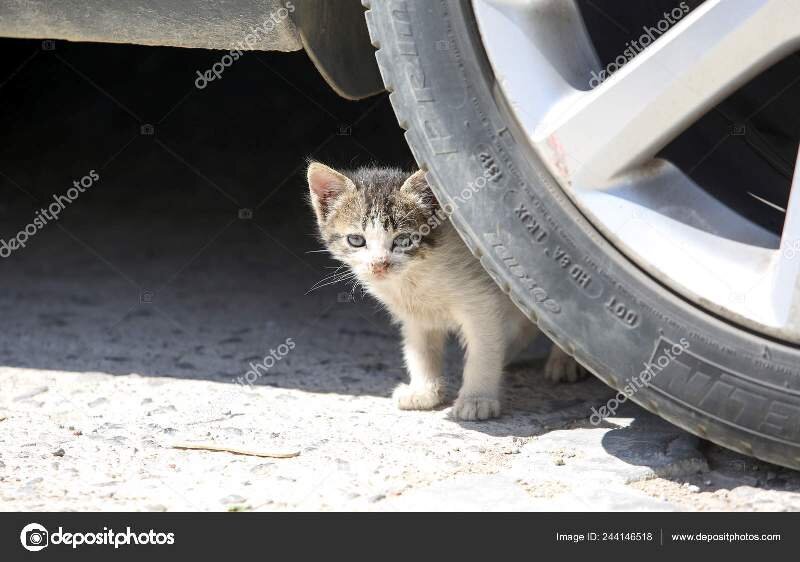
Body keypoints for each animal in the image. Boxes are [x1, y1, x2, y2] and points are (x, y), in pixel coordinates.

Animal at [306, 160, 580, 418]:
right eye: (356, 240)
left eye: (403, 240)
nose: (379, 264)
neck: (415, 277)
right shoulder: (415, 317)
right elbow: (420, 351)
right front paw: (424, 391)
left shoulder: (482, 304)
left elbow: (483, 351)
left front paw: (477, 399)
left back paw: (564, 360)